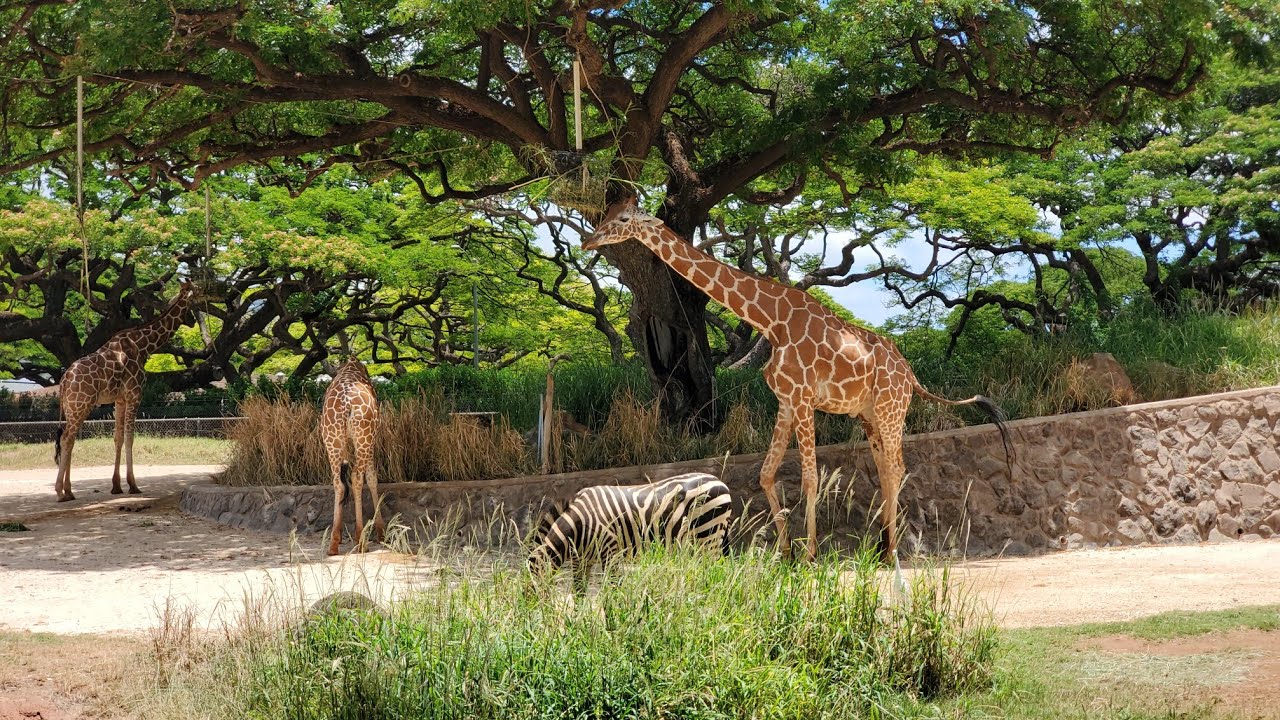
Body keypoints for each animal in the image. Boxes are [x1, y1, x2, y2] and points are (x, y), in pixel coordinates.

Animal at [53, 279, 199, 502]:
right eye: (198, 292)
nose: (192, 320)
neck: (142, 346)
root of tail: (64, 381)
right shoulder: (134, 395)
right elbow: (130, 438)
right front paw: (133, 485)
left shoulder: (119, 399)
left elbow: (118, 438)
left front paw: (116, 486)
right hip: (81, 405)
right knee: (67, 438)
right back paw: (61, 491)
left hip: (71, 408)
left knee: (68, 439)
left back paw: (68, 491)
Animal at [319, 357, 384, 555]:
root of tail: (346, 404)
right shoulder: (372, 440)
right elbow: (372, 478)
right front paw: (381, 533)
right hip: (364, 437)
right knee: (357, 478)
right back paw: (361, 540)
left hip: (331, 439)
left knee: (338, 483)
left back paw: (333, 544)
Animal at [528, 473, 733, 586]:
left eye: (531, 584)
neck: (579, 524)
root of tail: (720, 481)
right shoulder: (582, 560)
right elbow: (579, 592)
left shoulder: (610, 552)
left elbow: (611, 590)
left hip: (708, 535)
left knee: (714, 573)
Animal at [583, 200, 1011, 571]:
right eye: (606, 213)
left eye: (623, 220)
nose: (589, 241)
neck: (770, 320)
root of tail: (911, 374)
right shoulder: (786, 401)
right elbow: (765, 474)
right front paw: (784, 553)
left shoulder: (804, 399)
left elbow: (810, 476)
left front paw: (809, 555)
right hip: (869, 415)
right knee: (886, 468)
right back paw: (880, 547)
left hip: (892, 410)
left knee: (897, 466)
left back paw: (891, 552)